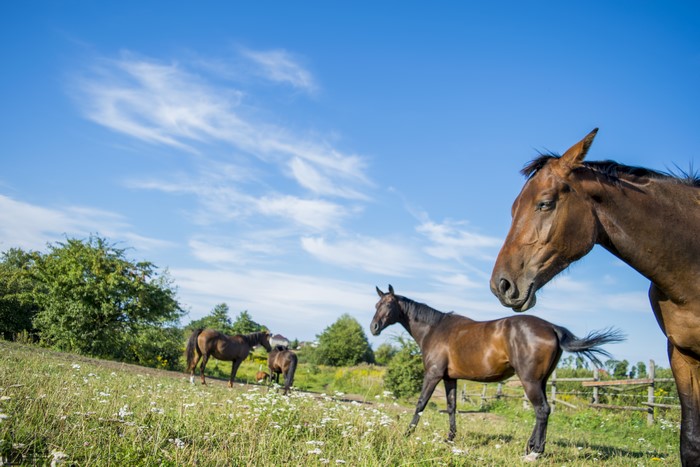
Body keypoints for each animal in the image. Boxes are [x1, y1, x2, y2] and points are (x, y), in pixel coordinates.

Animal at [371, 285, 623, 459]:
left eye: (389, 305)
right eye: (376, 306)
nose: (373, 327)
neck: (435, 329)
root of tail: (552, 327)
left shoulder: (433, 375)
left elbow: (421, 403)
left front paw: (407, 433)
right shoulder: (450, 378)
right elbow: (451, 407)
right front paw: (449, 438)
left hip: (529, 381)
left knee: (542, 410)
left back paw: (535, 452)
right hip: (539, 381)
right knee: (542, 412)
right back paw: (530, 447)